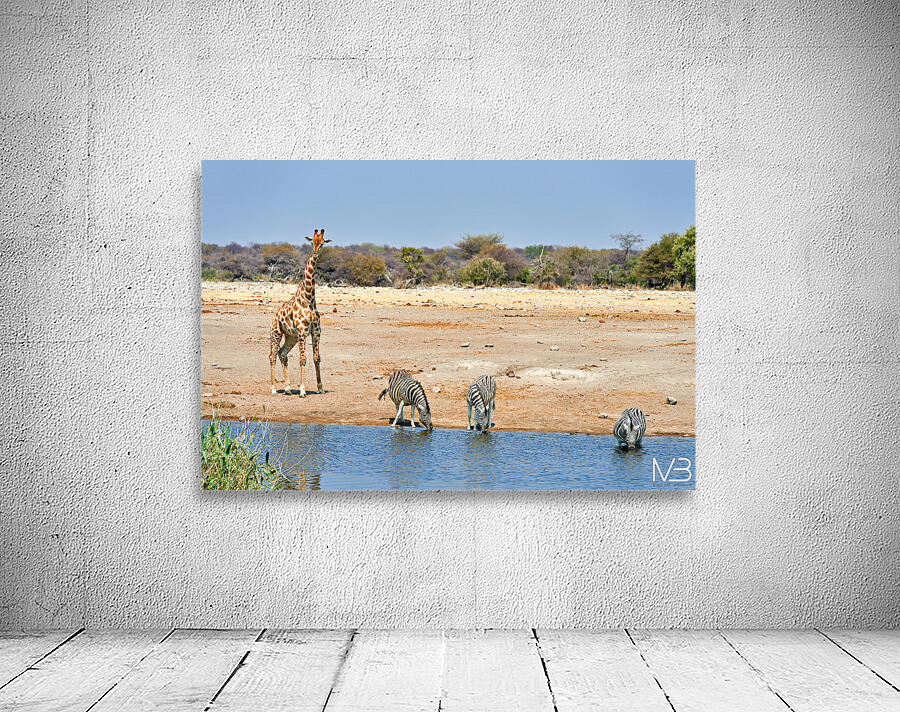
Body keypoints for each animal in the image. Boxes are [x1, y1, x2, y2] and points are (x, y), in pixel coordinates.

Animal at [268, 228, 331, 397]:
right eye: (312, 242)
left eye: (322, 243)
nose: (314, 254)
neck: (309, 298)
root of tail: (274, 316)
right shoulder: (303, 332)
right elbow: (303, 359)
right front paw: (302, 389)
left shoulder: (316, 332)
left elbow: (316, 358)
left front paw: (320, 388)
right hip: (276, 332)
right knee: (272, 355)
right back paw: (274, 389)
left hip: (291, 337)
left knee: (282, 353)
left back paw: (288, 388)